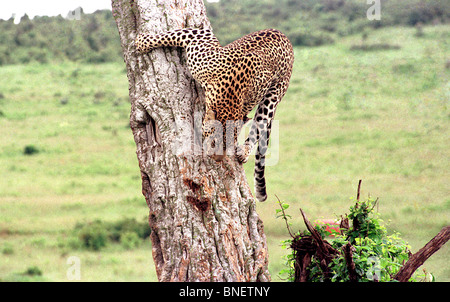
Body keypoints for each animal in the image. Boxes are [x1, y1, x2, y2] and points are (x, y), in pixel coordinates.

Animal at [135, 27, 294, 202]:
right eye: (213, 142)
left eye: (229, 144)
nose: (218, 160)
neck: (229, 94)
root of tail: (285, 37)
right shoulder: (200, 38)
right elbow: (172, 34)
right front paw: (141, 41)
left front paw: (141, 41)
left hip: (273, 96)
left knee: (260, 126)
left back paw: (244, 151)